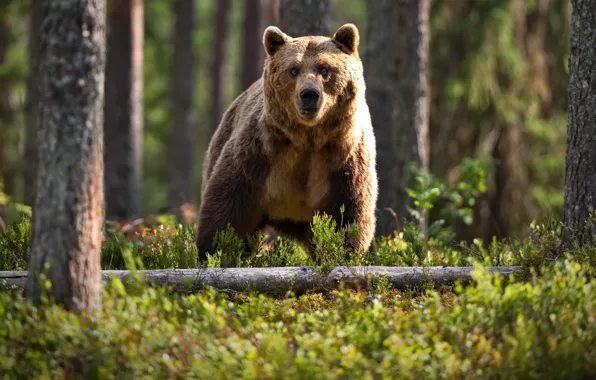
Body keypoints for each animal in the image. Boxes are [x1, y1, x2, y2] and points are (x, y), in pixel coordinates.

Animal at [198, 22, 380, 262]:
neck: (307, 138)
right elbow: (229, 209)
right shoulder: (260, 152)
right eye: (293, 69)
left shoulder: (342, 160)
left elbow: (346, 216)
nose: (309, 94)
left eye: (324, 69)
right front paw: (215, 252)